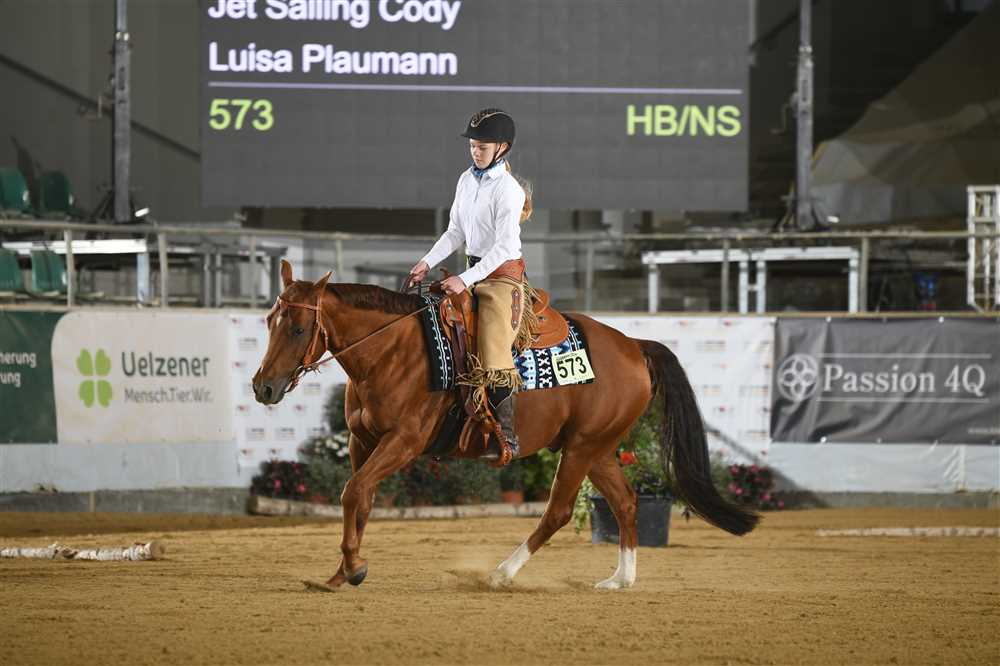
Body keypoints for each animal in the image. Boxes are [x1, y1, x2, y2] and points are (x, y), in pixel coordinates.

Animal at [252, 260, 758, 591]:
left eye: (298, 328)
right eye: (270, 320)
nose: (263, 387)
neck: (394, 350)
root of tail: (634, 344)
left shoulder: (404, 442)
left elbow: (353, 492)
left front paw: (354, 568)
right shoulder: (362, 441)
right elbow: (359, 499)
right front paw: (342, 572)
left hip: (581, 450)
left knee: (558, 512)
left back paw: (501, 573)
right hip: (595, 449)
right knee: (627, 502)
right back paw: (620, 579)